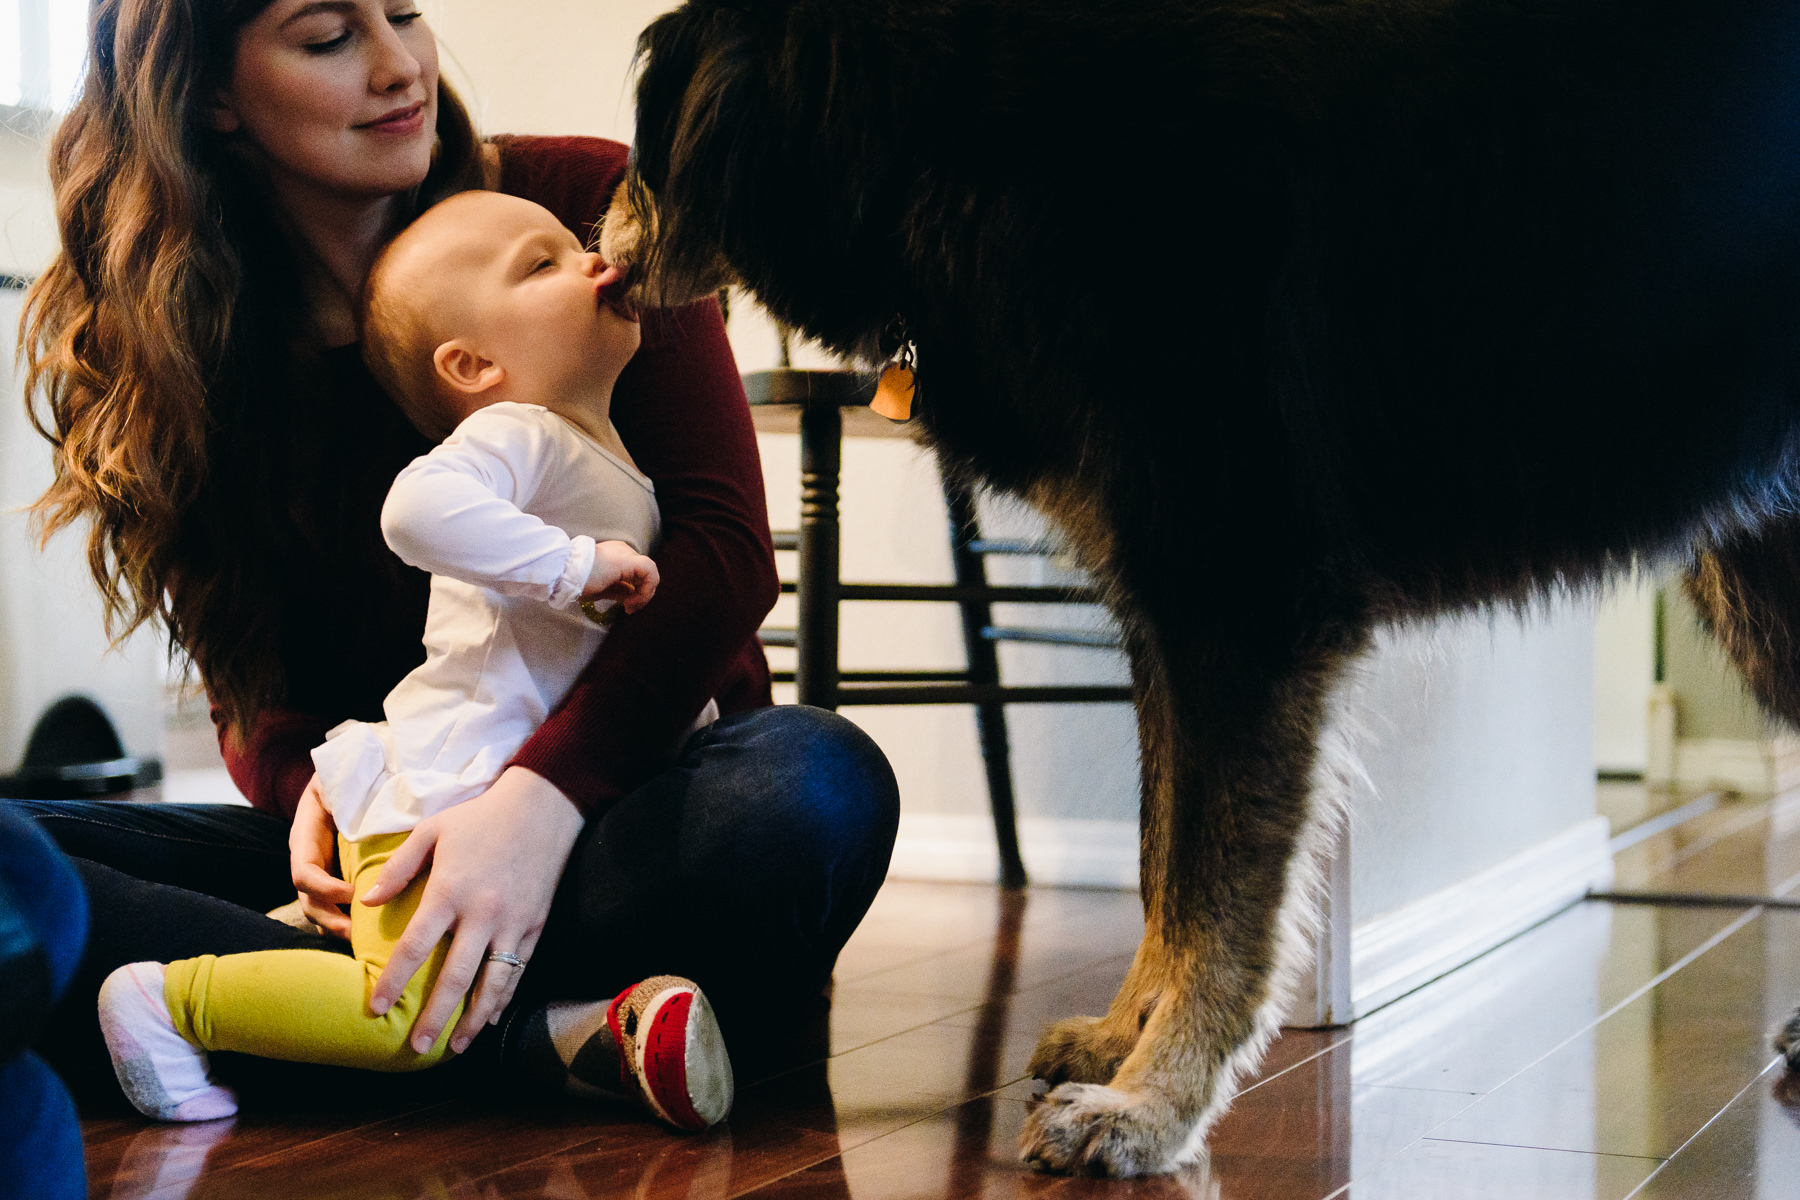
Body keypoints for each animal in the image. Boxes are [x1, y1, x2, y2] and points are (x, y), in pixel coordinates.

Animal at [597, 0, 1800, 1180]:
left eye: (643, 143)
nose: (587, 226)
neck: (941, 129)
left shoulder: (1241, 605)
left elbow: (1217, 900)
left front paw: (1151, 1105)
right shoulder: (1168, 619)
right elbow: (1160, 865)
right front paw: (1122, 1042)